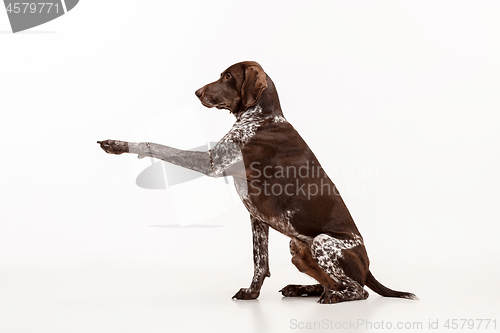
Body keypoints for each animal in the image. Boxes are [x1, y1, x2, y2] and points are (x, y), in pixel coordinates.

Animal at [96, 61, 414, 302]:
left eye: (228, 76)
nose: (197, 92)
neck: (262, 117)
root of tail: (368, 267)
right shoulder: (258, 218)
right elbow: (260, 262)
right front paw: (252, 293)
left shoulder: (212, 162)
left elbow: (158, 146)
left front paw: (119, 144)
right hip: (298, 249)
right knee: (332, 283)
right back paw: (303, 289)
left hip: (323, 242)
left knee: (358, 291)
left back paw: (334, 296)